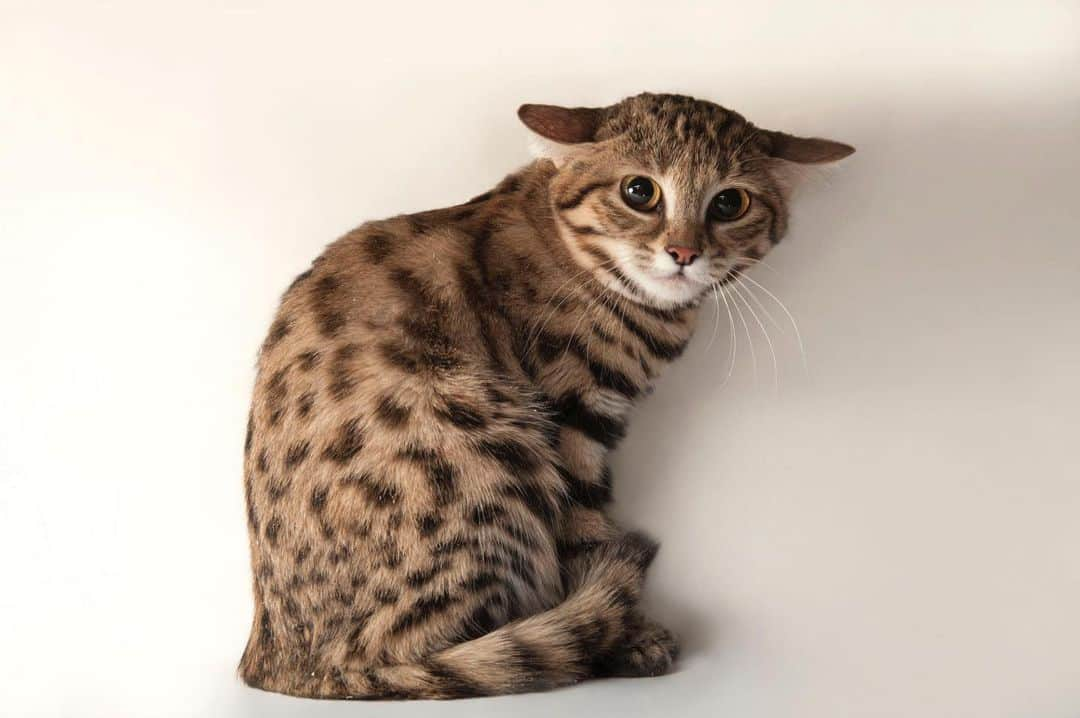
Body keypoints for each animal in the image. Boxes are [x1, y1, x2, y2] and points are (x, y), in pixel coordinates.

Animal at [236, 92, 851, 695]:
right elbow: (586, 532)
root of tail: (274, 662)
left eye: (729, 203)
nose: (683, 253)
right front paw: (628, 635)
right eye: (639, 192)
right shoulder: (570, 412)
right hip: (485, 451)